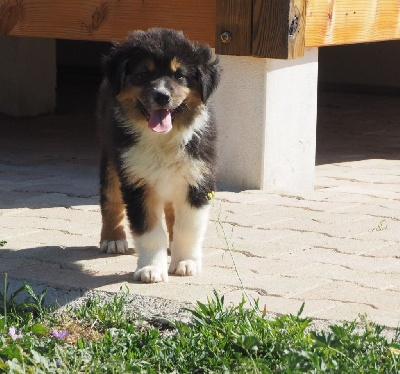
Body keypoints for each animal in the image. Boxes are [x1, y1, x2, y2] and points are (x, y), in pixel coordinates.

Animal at [97, 27, 222, 282]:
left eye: (180, 76)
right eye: (144, 74)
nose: (162, 96)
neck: (164, 139)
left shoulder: (198, 179)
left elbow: (188, 228)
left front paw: (185, 262)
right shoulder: (137, 182)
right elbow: (149, 231)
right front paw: (151, 269)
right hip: (110, 157)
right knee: (110, 199)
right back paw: (113, 238)